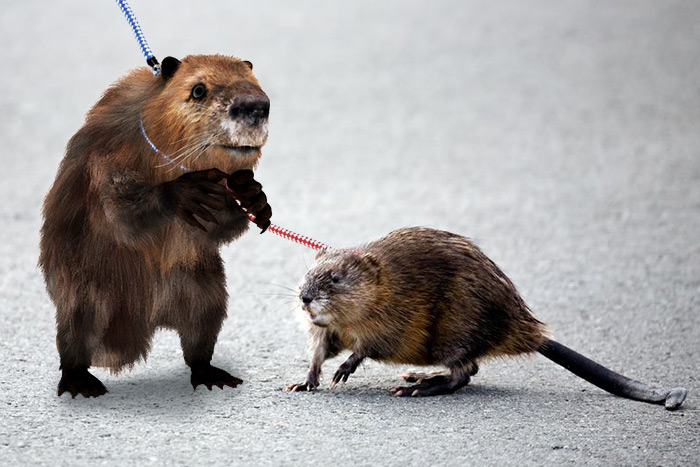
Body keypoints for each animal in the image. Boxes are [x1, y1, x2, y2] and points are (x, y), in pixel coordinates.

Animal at [37, 54, 274, 398]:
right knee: (74, 338)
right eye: (198, 90)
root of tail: (146, 321)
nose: (255, 106)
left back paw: (212, 375)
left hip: (205, 292)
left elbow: (218, 226)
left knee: (199, 340)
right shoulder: (108, 153)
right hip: (85, 295)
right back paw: (81, 384)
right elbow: (117, 202)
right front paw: (184, 191)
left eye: (255, 82)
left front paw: (254, 196)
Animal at [288, 229, 688, 412]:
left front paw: (345, 369)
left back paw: (419, 386)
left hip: (456, 327)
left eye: (336, 278)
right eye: (308, 273)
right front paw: (303, 382)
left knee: (464, 373)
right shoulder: (328, 329)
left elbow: (371, 345)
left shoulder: (394, 314)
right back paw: (415, 376)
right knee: (469, 369)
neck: (385, 284)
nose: (305, 297)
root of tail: (530, 333)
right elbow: (320, 349)